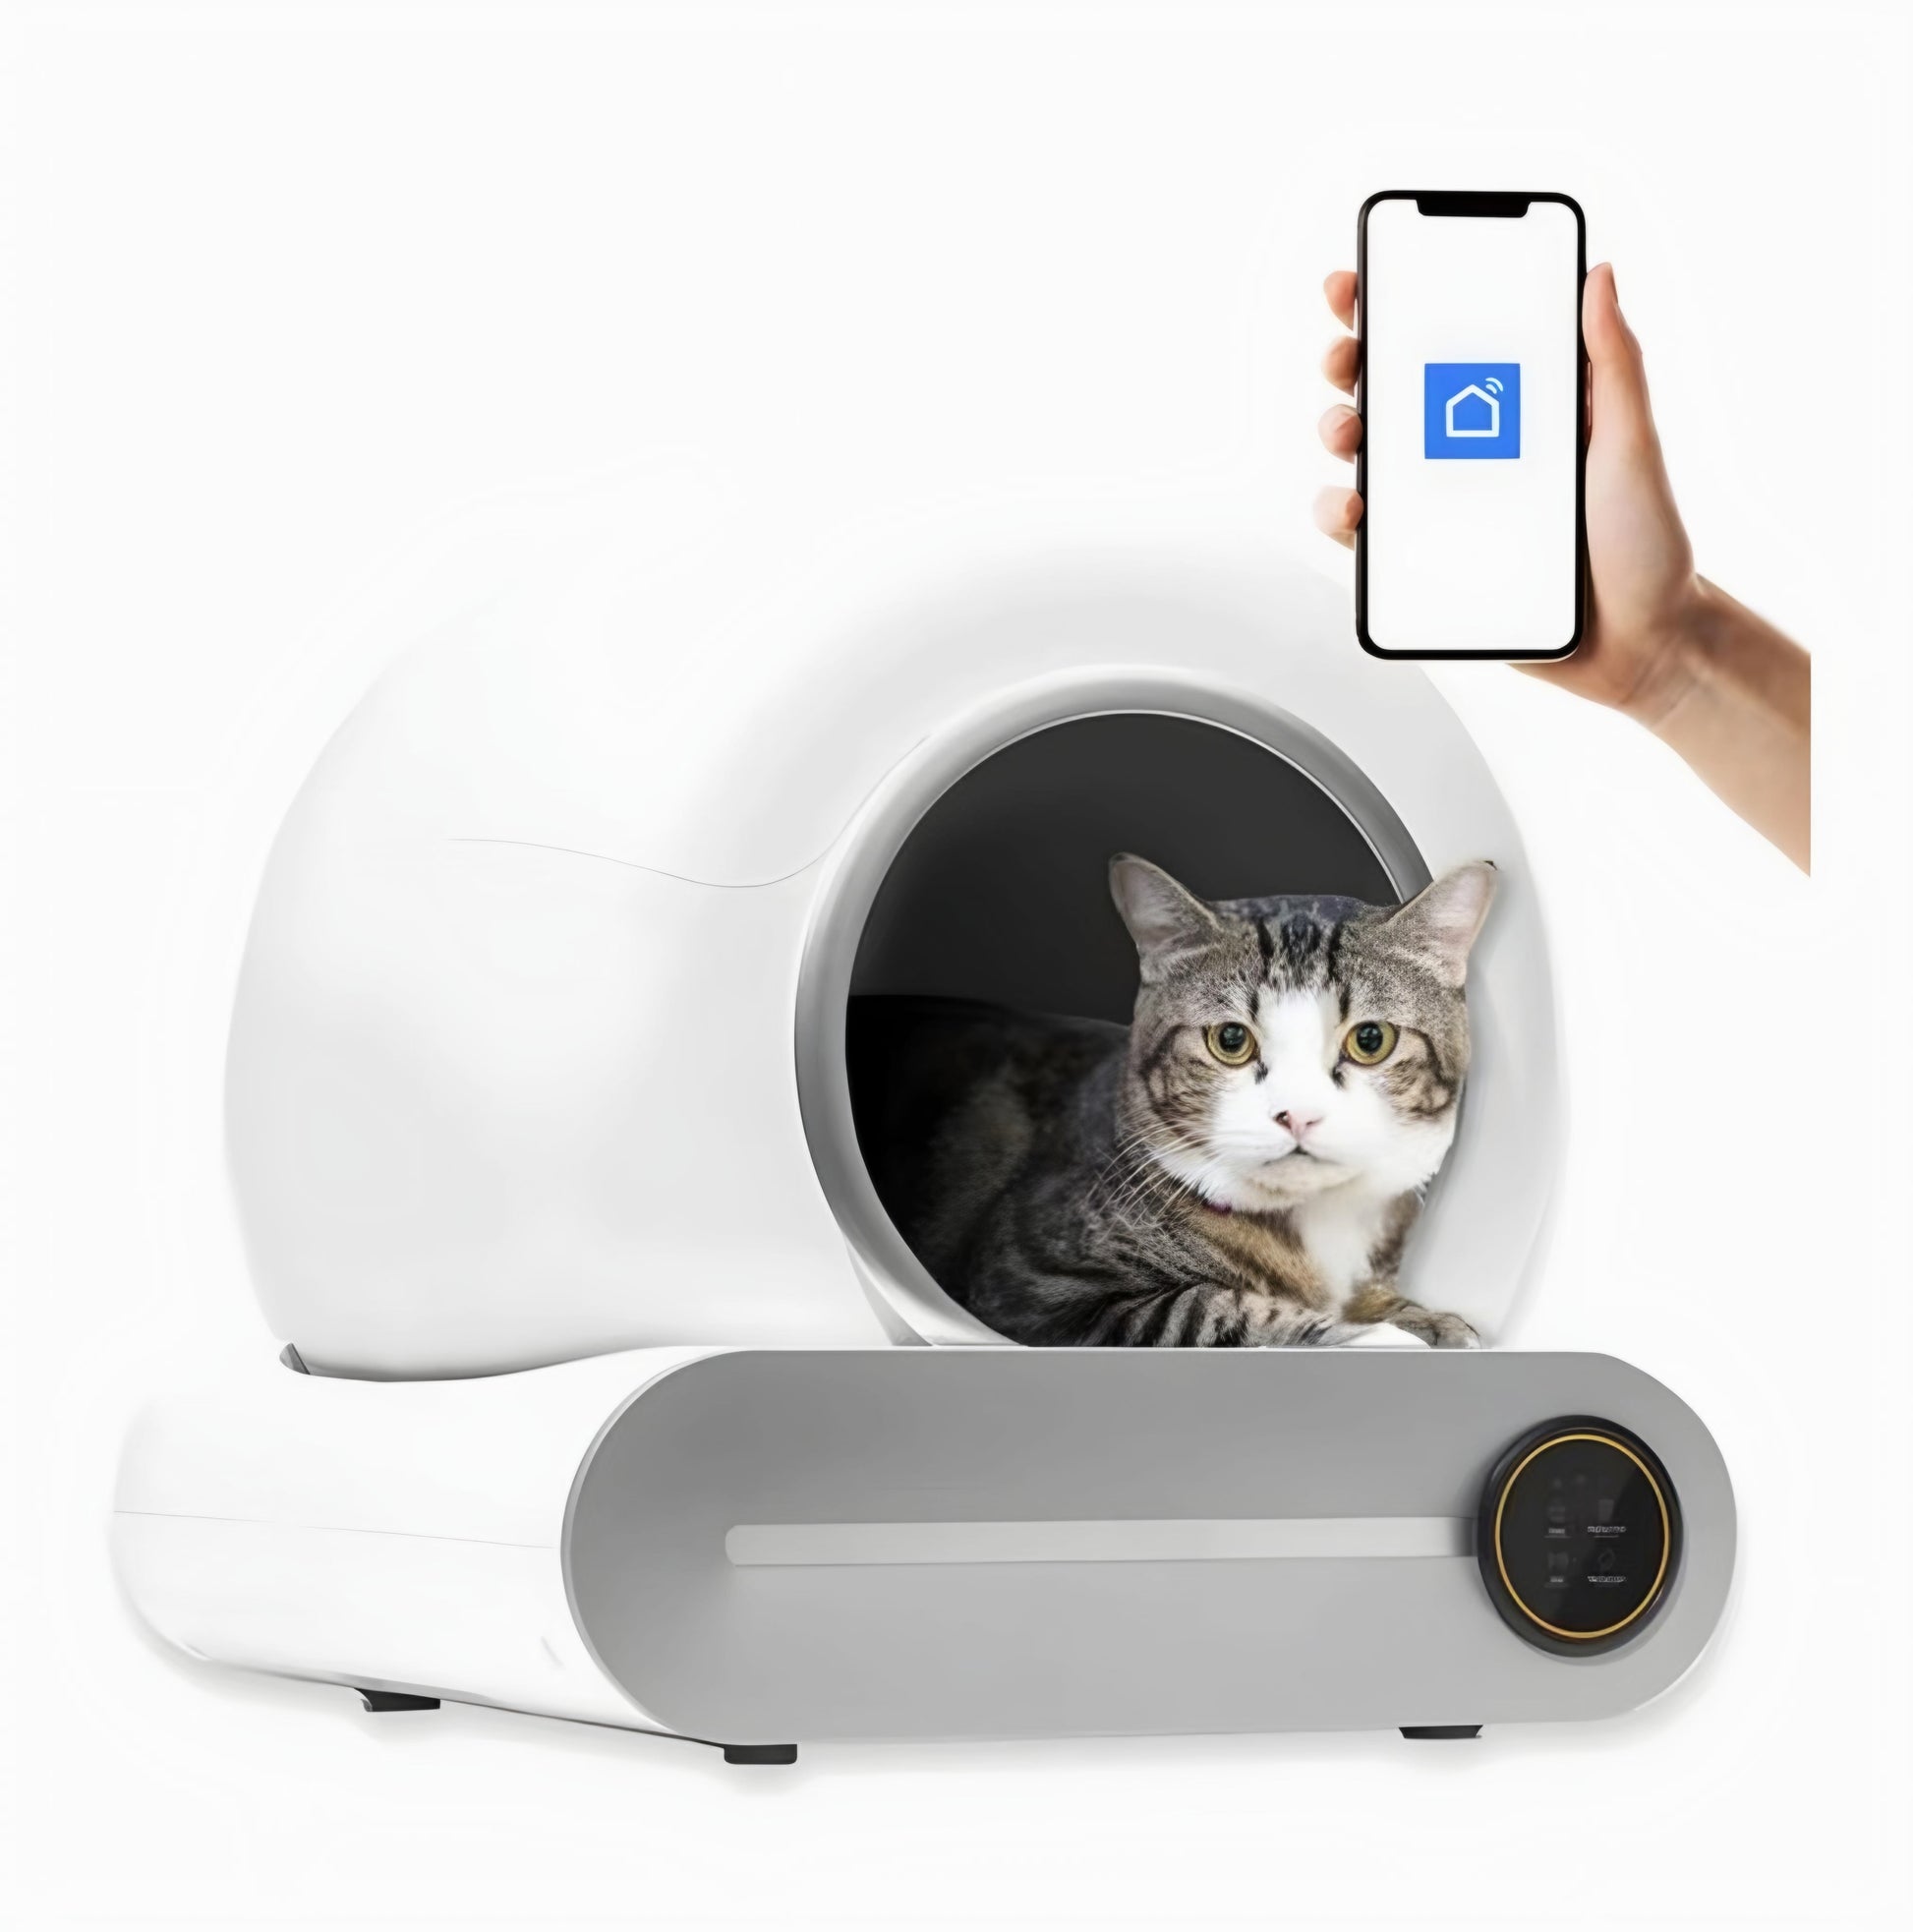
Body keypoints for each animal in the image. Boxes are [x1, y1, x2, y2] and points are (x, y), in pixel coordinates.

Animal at [853, 853, 1499, 1352]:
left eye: (1370, 1040)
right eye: (1231, 1040)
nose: (1297, 1114)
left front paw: (1424, 1319)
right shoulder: (1035, 1287)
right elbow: (1206, 1307)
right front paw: (1371, 1336)